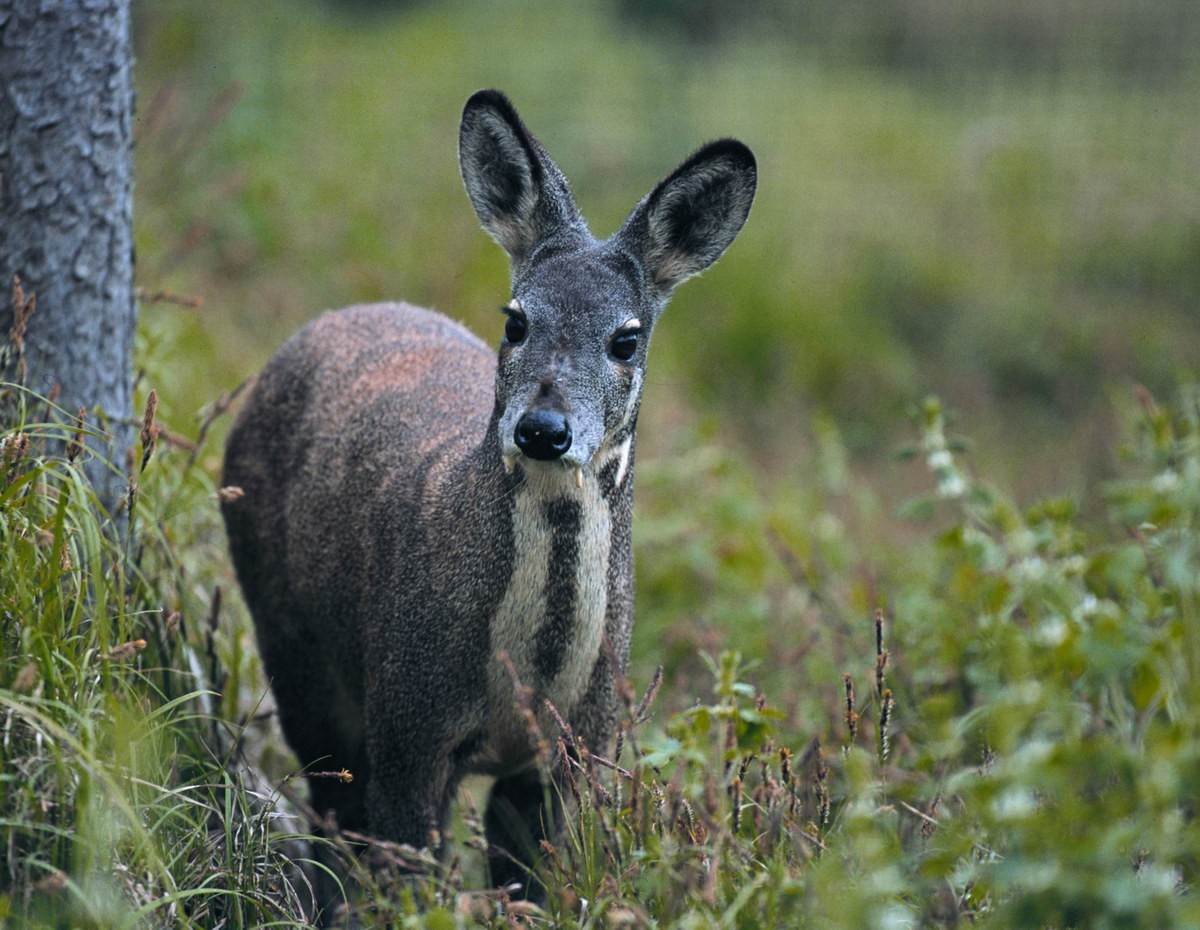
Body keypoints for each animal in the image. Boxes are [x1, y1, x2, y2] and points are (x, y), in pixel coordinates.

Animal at [220, 91, 753, 897]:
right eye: (517, 319)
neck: (528, 681)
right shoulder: (408, 720)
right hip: (291, 640)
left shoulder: (576, 750)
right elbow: (405, 873)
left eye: (626, 339)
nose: (543, 429)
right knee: (330, 805)